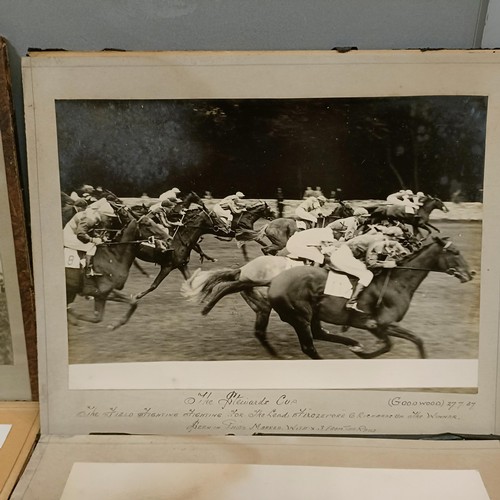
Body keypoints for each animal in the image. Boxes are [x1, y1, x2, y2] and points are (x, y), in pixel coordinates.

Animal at [266, 237, 472, 360]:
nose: (471, 274)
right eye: (455, 253)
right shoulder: (380, 324)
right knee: (309, 347)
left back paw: (353, 344)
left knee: (318, 334)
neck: (397, 282)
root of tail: (274, 282)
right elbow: (390, 345)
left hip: (312, 315)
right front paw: (364, 354)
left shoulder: (380, 326)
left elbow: (415, 340)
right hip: (300, 316)